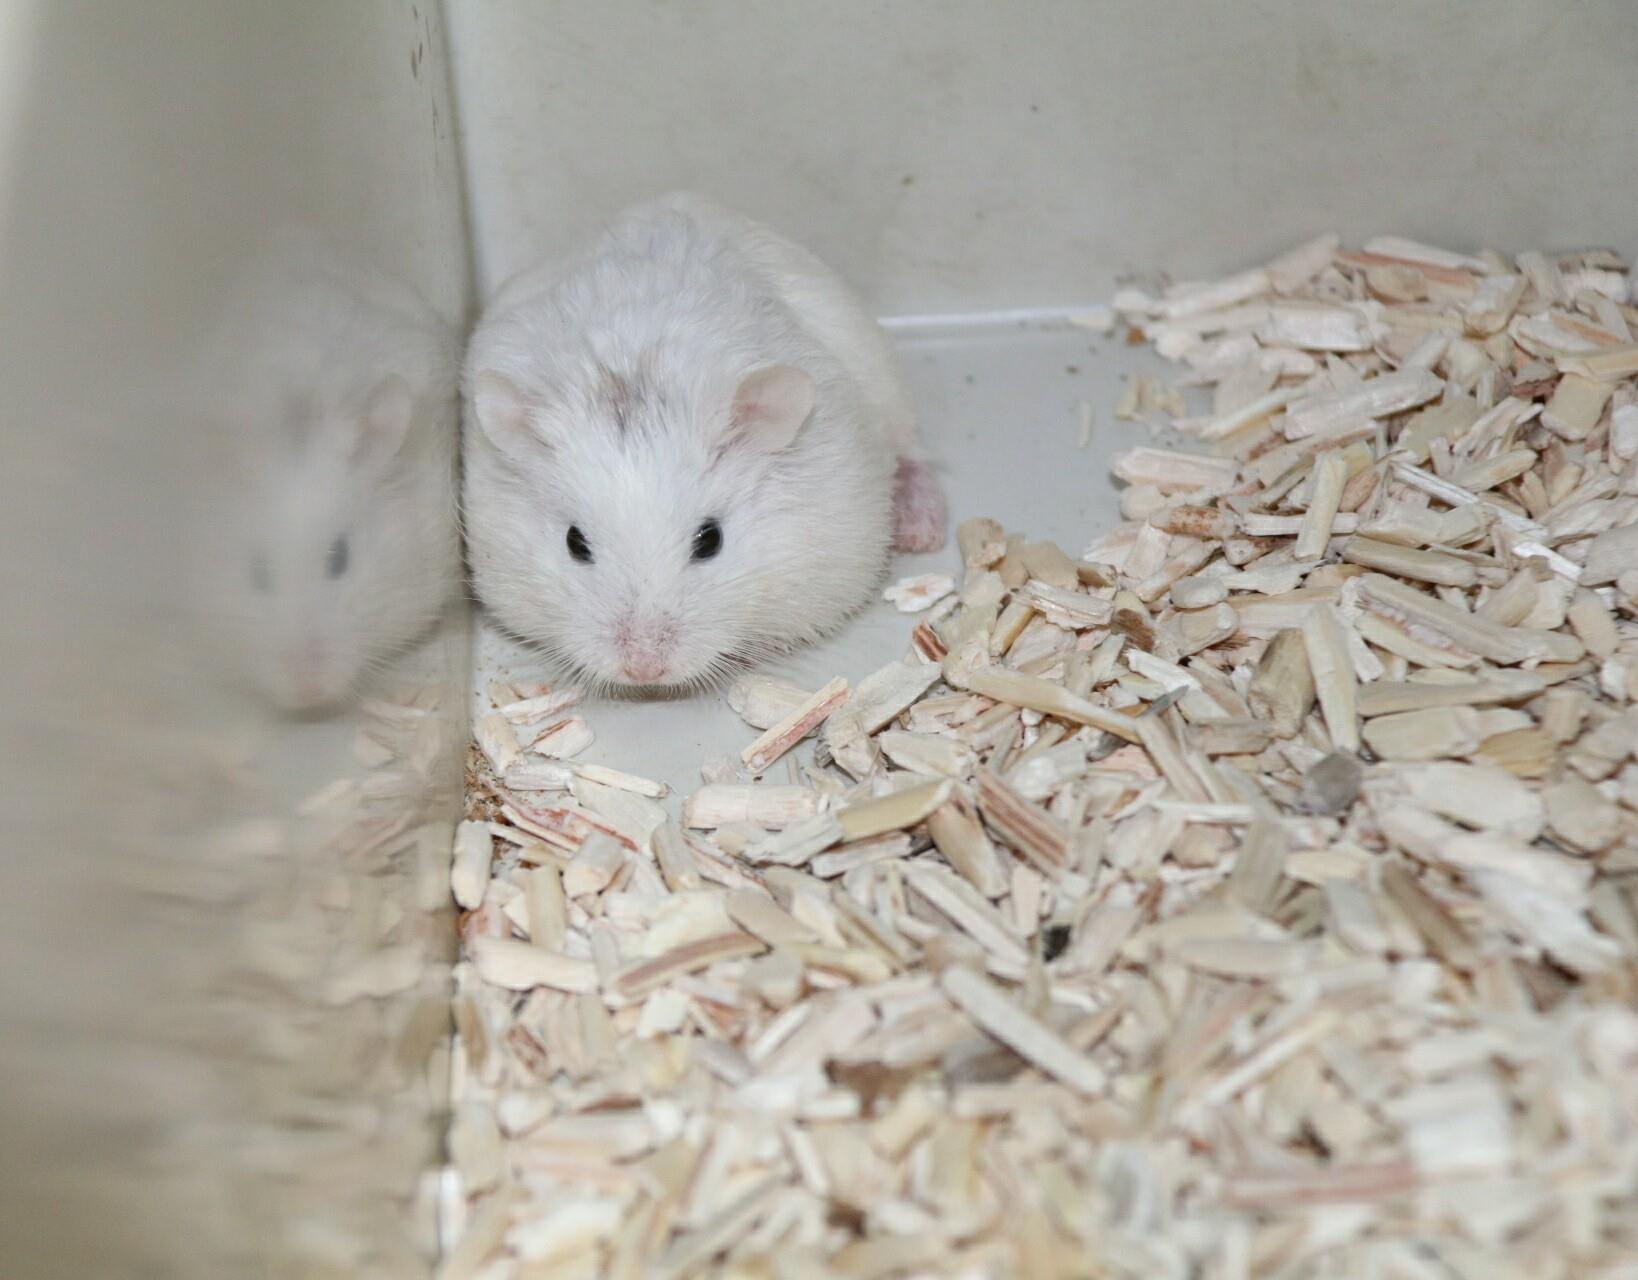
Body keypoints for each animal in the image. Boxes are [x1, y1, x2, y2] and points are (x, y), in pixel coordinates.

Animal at [462, 192, 946, 692]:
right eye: (575, 543)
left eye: (710, 541)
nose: (644, 670)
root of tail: (679, 200)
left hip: (886, 381)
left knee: (911, 454)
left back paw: (921, 533)